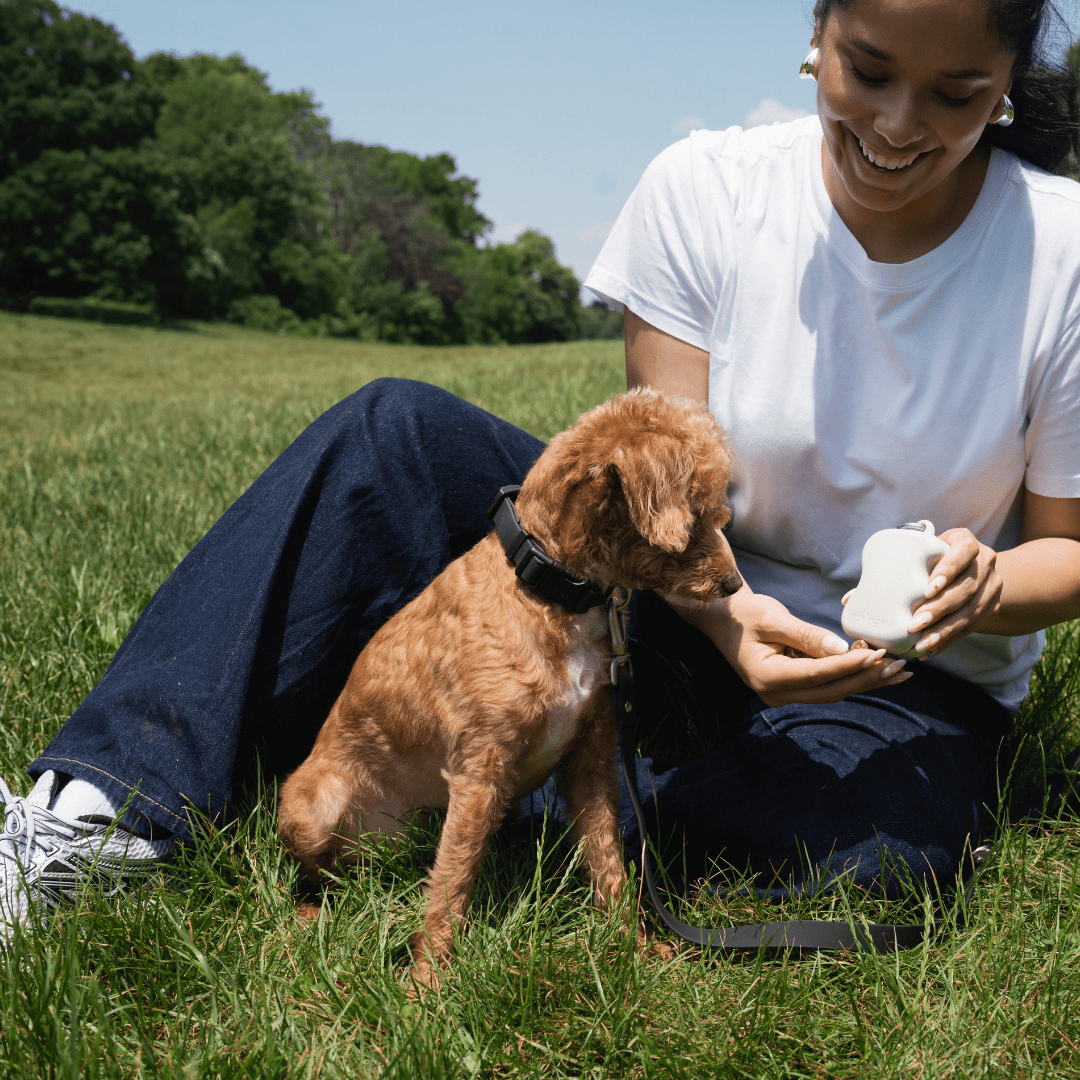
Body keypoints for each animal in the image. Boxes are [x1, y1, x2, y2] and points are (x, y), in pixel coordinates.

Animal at [278, 388, 743, 989]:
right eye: (698, 514)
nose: (734, 584)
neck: (551, 593)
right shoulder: (481, 769)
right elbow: (452, 885)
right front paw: (427, 984)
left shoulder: (591, 758)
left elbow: (607, 860)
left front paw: (632, 949)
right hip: (314, 811)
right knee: (325, 875)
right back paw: (312, 914)